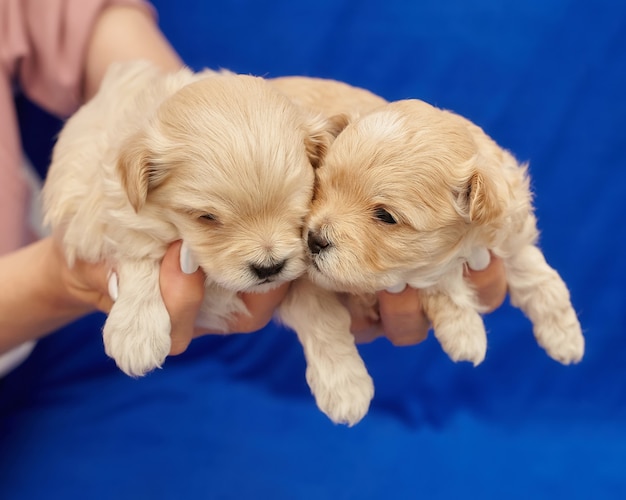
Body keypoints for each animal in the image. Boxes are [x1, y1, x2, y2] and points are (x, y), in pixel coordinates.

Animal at [42, 63, 332, 378]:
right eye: (207, 217)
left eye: (301, 208)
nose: (269, 267)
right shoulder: (106, 209)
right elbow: (138, 251)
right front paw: (136, 332)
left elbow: (319, 313)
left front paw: (342, 379)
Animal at [304, 97, 584, 374]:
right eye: (320, 187)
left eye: (385, 216)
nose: (313, 240)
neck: (468, 243)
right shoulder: (424, 268)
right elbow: (440, 283)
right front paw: (465, 334)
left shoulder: (509, 237)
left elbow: (541, 279)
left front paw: (565, 336)